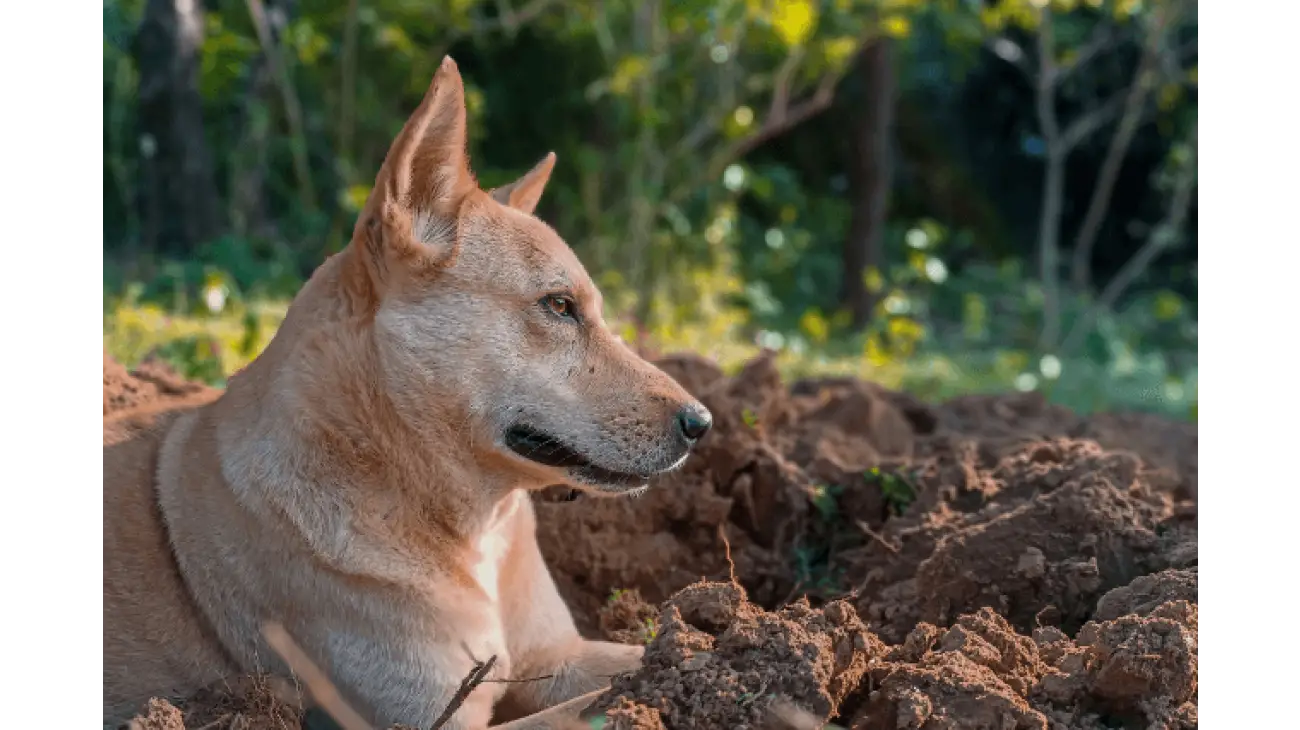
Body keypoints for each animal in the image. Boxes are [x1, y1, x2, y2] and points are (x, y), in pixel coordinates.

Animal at [100, 58, 712, 727]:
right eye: (558, 306)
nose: (702, 424)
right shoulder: (434, 716)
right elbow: (606, 698)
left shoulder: (560, 657)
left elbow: (651, 659)